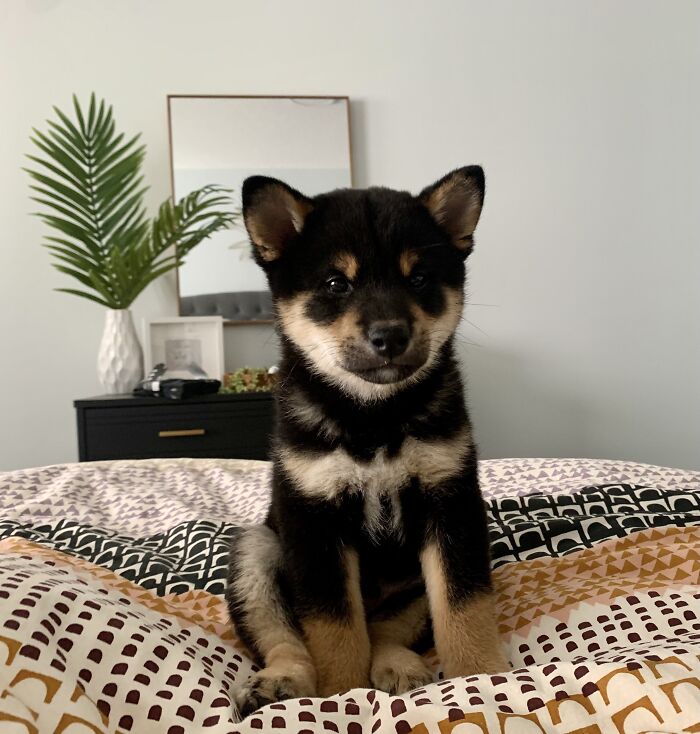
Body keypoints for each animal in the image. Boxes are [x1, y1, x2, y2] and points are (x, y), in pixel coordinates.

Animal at [227, 167, 506, 720]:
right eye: (337, 284)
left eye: (418, 279)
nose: (390, 335)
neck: (374, 419)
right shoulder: (313, 520)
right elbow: (335, 629)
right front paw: (341, 696)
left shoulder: (452, 508)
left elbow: (463, 609)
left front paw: (483, 679)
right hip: (256, 551)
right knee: (285, 638)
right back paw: (281, 682)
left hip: (412, 582)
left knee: (386, 630)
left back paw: (397, 664)